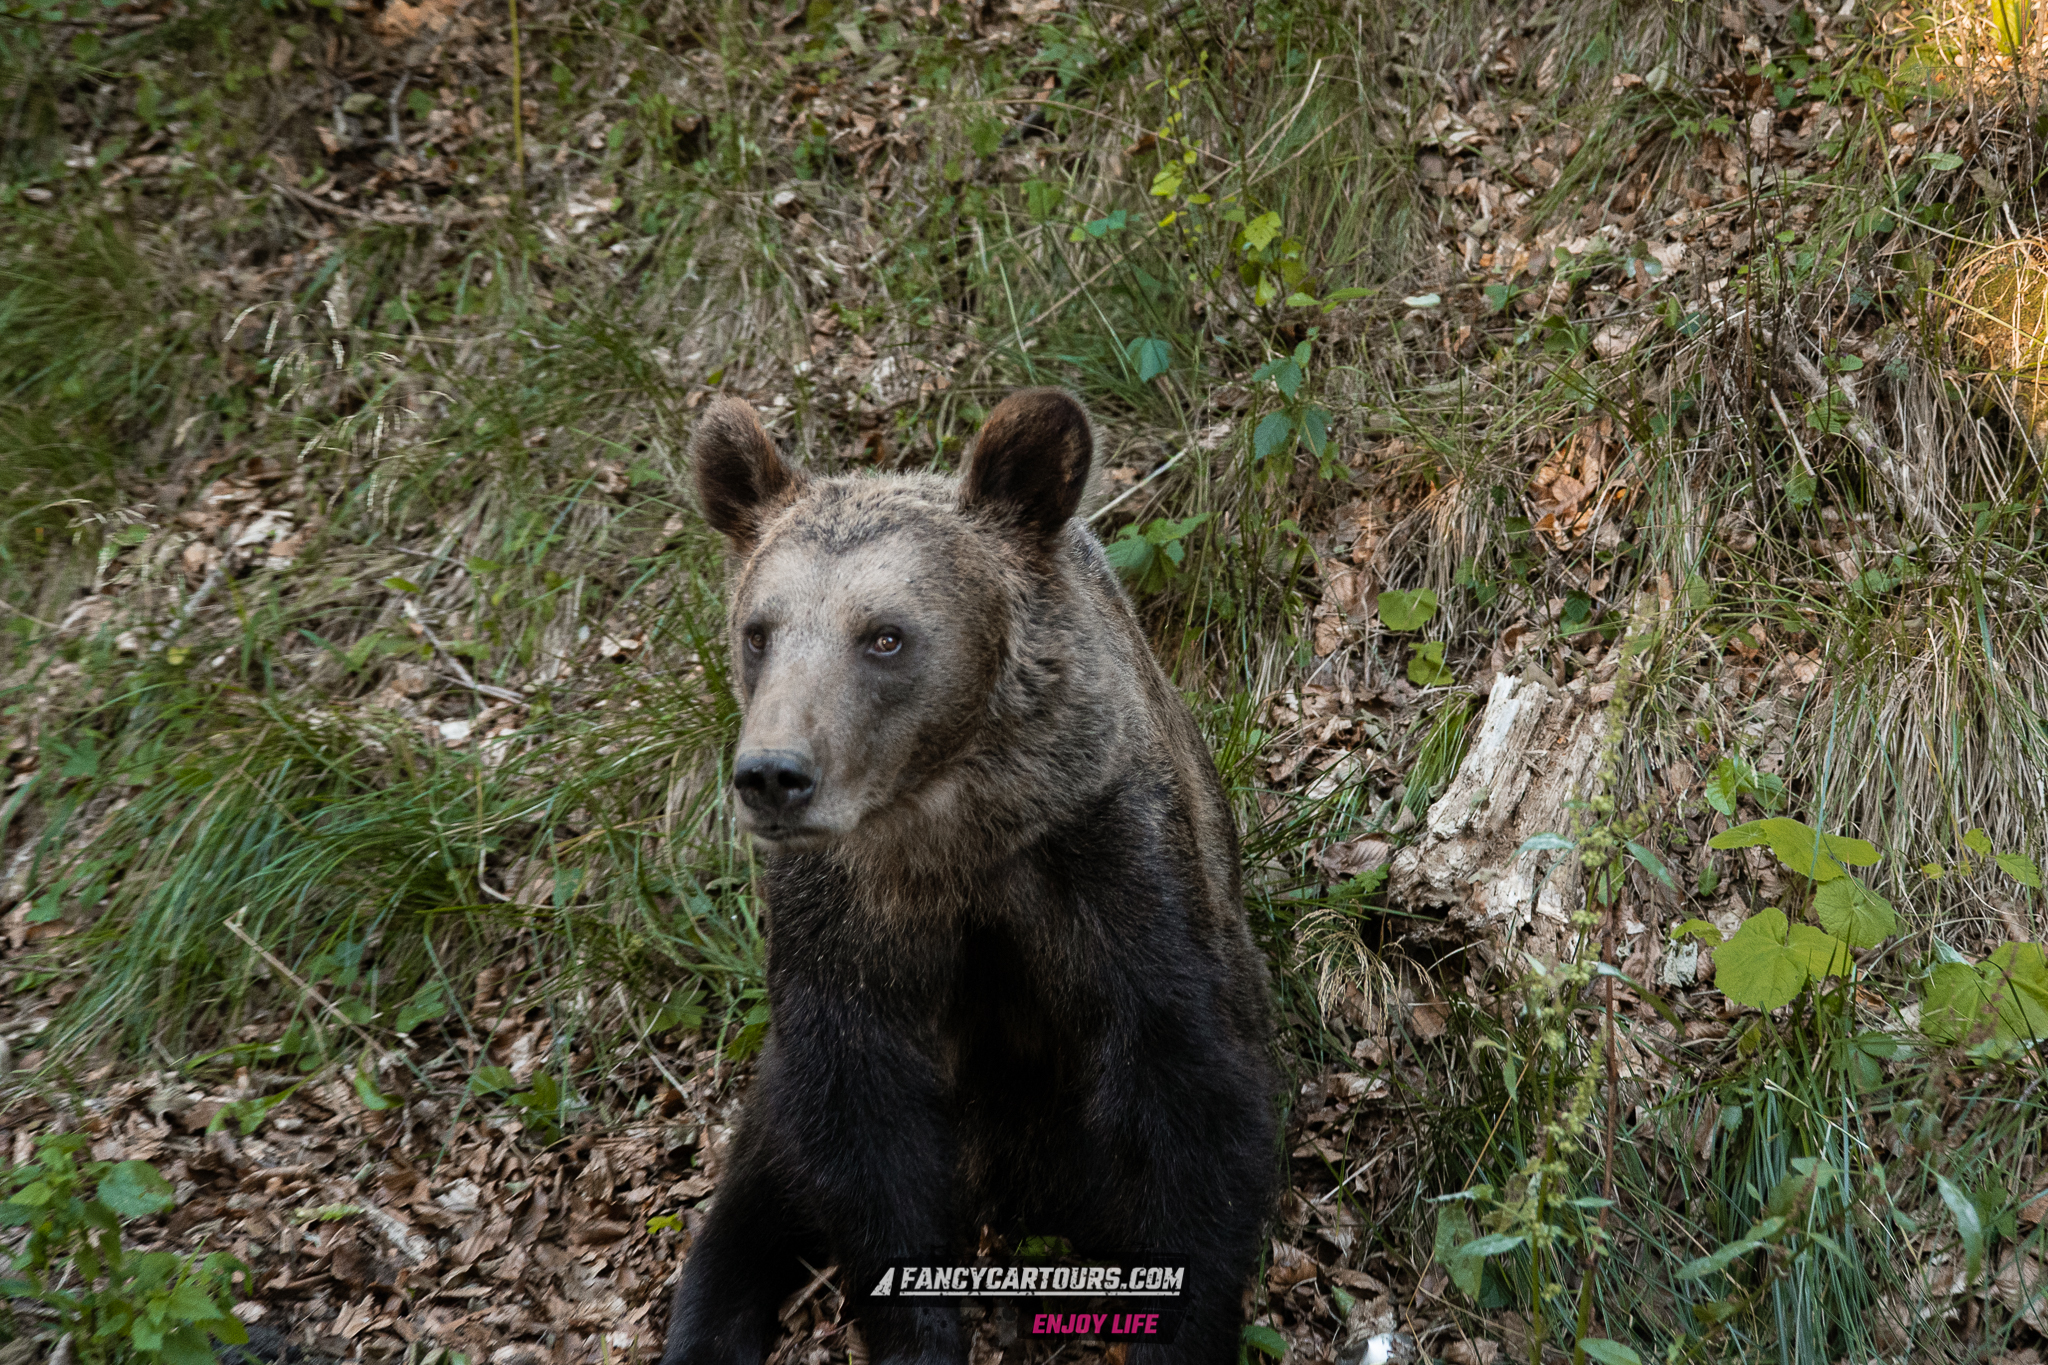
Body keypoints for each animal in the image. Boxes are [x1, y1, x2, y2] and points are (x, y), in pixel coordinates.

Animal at [661, 388, 1277, 1365]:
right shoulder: (848, 924)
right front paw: (916, 1332)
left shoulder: (1110, 868)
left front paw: (1179, 1329)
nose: (773, 774)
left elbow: (1190, 1094)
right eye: (758, 631)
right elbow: (860, 1129)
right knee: (755, 1185)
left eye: (884, 635)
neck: (951, 832)